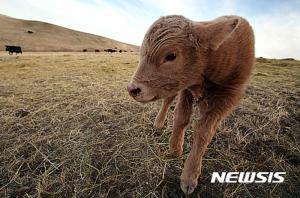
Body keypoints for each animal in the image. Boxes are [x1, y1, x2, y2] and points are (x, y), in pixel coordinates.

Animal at [127, 14, 254, 194]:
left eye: (171, 56)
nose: (133, 89)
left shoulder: (227, 98)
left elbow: (203, 133)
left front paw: (189, 176)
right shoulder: (185, 89)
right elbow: (181, 118)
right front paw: (175, 148)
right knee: (167, 100)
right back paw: (159, 122)